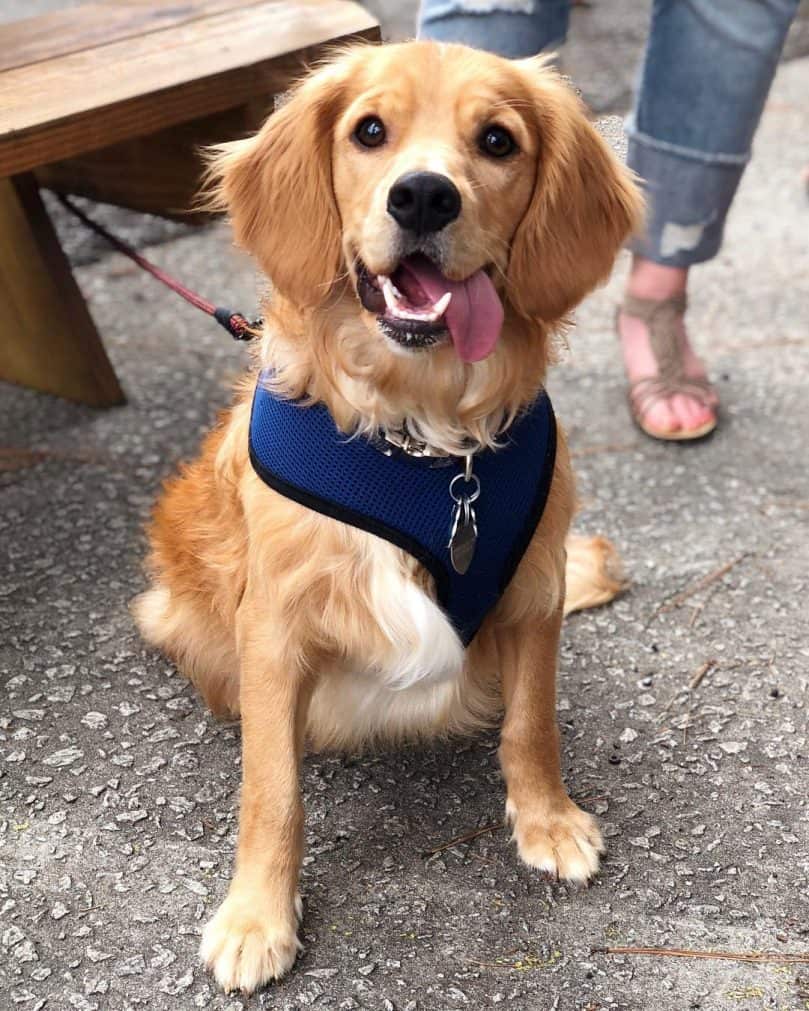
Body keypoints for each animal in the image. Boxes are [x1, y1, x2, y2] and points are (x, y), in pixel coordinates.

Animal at [132, 41, 643, 994]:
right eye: (369, 130)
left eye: (497, 140)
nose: (425, 196)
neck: (427, 441)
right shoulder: (273, 628)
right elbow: (271, 790)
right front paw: (256, 915)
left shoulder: (532, 589)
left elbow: (532, 723)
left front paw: (547, 819)